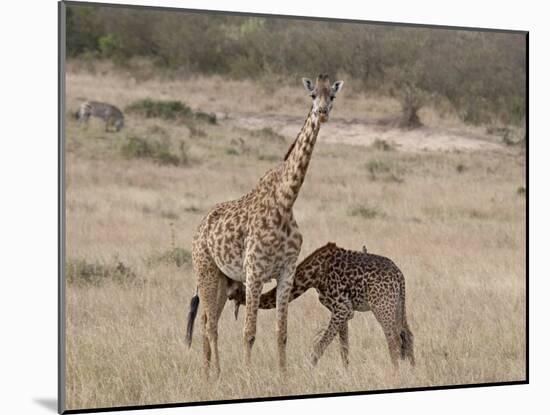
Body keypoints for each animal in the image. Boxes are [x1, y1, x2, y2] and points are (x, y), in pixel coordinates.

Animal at [231, 242, 416, 368]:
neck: (314, 275)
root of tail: (399, 275)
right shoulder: (343, 311)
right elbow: (343, 348)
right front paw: (346, 374)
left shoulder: (343, 308)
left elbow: (319, 346)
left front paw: (308, 371)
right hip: (398, 304)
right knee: (407, 335)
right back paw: (412, 372)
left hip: (382, 306)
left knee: (394, 340)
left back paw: (394, 376)